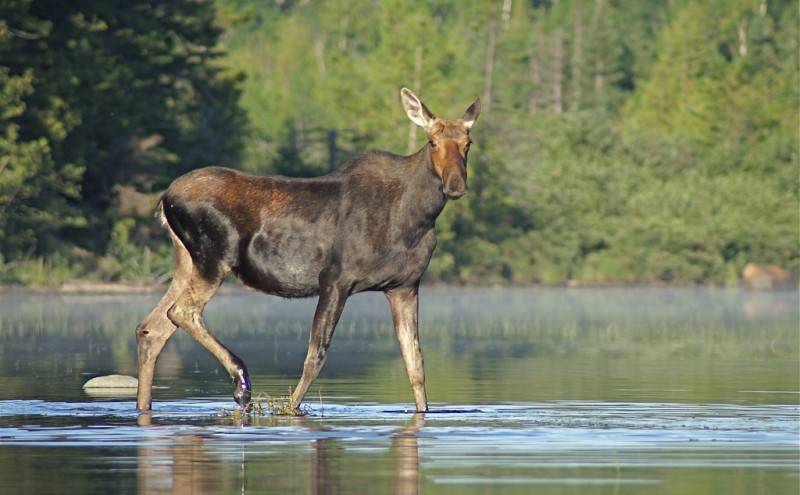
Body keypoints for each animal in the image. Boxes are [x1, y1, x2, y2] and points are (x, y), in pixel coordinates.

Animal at [134, 88, 478, 414]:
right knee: (181, 312)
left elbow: (415, 363)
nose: (455, 185)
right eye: (432, 142)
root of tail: (165, 198)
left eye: (468, 143)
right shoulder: (336, 279)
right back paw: (241, 381)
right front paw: (289, 408)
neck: (416, 219)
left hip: (188, 262)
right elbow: (316, 355)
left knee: (152, 328)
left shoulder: (404, 287)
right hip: (215, 258)